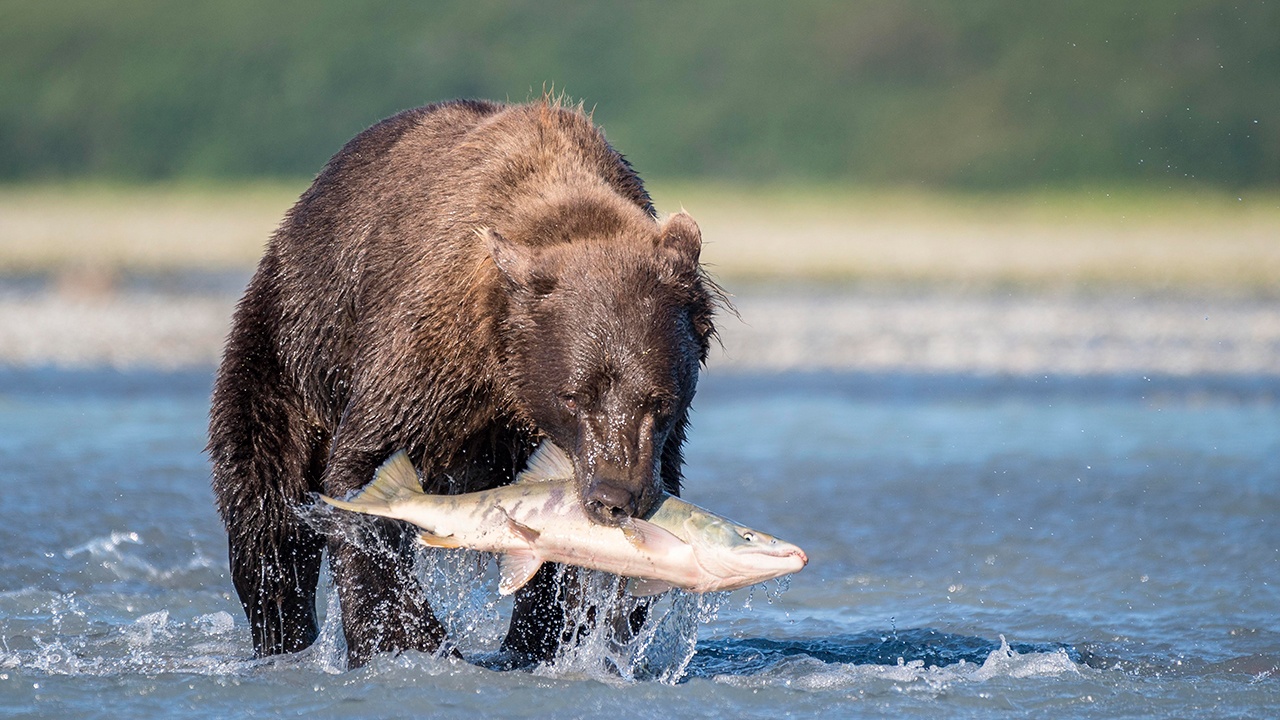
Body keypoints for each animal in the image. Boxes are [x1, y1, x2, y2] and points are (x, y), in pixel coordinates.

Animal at [207, 97, 721, 667]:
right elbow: (365, 470)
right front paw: (407, 641)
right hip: (289, 342)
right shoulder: (427, 351)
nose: (615, 496)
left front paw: (555, 638)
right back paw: (281, 635)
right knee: (266, 503)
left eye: (660, 400)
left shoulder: (654, 442)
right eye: (575, 395)